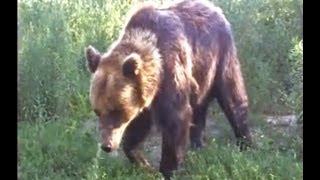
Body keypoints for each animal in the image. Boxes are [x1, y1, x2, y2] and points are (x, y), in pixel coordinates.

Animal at [84, 0, 252, 179]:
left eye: (117, 111)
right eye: (97, 111)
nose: (106, 145)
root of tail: (214, 7)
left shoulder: (171, 71)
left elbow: (175, 120)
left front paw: (167, 170)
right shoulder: (144, 96)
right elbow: (138, 128)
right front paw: (143, 163)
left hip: (219, 54)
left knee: (232, 96)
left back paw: (246, 143)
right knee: (199, 106)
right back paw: (198, 144)